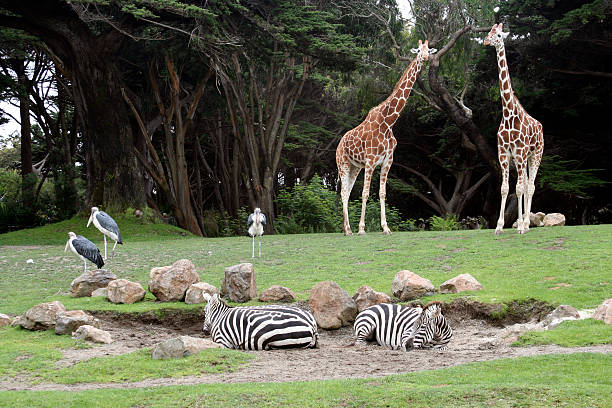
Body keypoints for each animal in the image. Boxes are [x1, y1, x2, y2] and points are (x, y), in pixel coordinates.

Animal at [334, 39, 436, 236]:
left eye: (429, 50)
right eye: (418, 50)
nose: (426, 57)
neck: (388, 122)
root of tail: (339, 144)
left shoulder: (388, 161)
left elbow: (382, 193)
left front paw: (386, 227)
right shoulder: (371, 160)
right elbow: (365, 193)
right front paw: (362, 229)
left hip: (355, 167)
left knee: (347, 192)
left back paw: (345, 229)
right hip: (343, 163)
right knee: (343, 192)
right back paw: (349, 230)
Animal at [482, 24, 544, 236]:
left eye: (499, 35)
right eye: (489, 32)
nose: (486, 41)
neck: (509, 113)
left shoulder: (520, 152)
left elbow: (519, 188)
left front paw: (521, 226)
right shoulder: (504, 153)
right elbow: (505, 188)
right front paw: (499, 226)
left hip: (535, 154)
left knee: (530, 185)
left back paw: (526, 224)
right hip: (523, 159)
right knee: (525, 184)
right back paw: (523, 222)